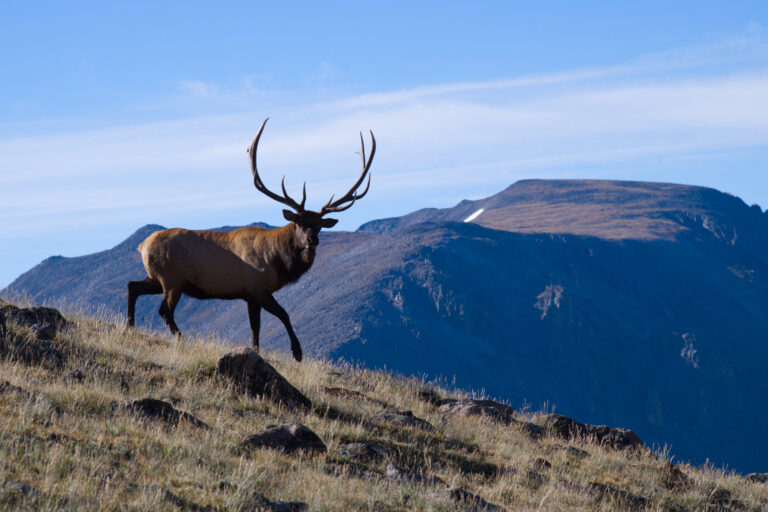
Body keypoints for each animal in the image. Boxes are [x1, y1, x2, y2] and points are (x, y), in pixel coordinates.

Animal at [126, 118, 375, 362]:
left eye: (320, 224)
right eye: (299, 222)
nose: (313, 239)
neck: (279, 260)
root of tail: (142, 246)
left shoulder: (249, 295)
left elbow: (255, 327)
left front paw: (256, 351)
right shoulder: (257, 287)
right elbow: (283, 314)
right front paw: (297, 352)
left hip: (159, 278)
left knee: (133, 286)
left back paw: (130, 326)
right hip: (171, 279)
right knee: (164, 310)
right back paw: (182, 339)